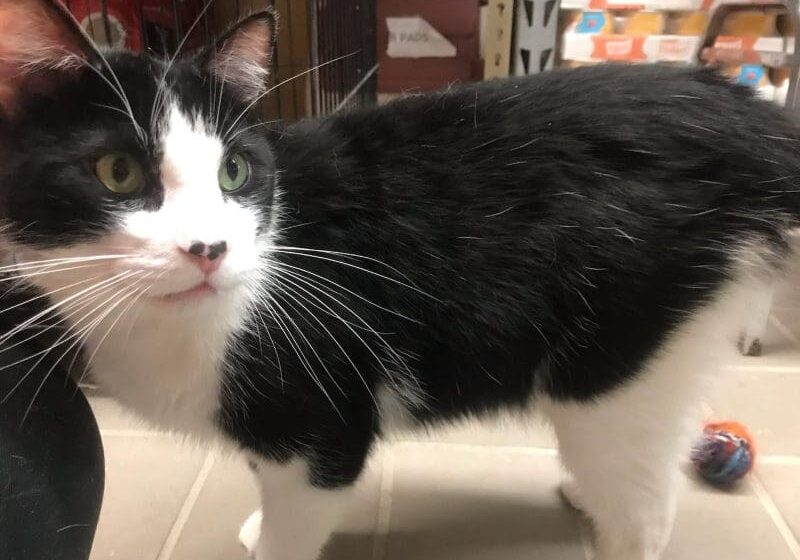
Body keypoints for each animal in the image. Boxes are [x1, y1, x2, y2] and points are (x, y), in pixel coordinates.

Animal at [1, 1, 800, 560]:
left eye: (233, 172)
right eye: (117, 171)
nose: (209, 249)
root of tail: (737, 113)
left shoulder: (320, 423)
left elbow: (304, 508)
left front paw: (272, 538)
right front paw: (258, 523)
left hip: (612, 361)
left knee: (644, 506)